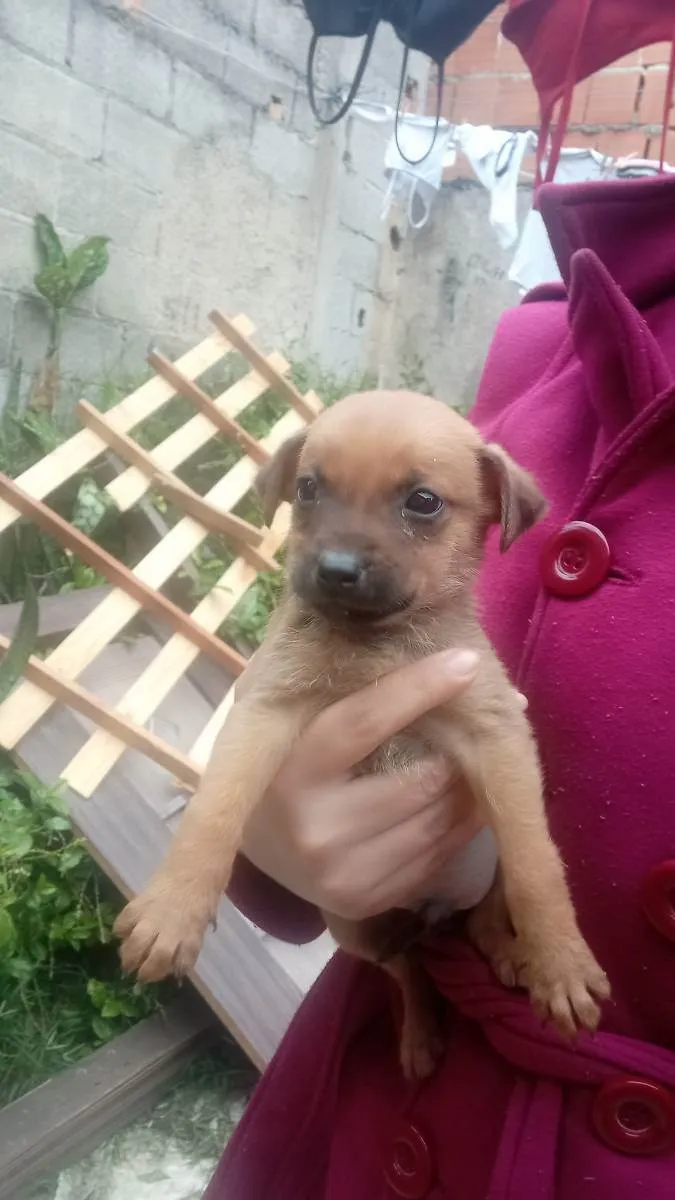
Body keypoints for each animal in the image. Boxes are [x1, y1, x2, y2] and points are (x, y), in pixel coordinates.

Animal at [117, 391, 610, 1080]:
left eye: (423, 501)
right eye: (307, 488)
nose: (336, 570)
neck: (373, 647)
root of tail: (428, 915)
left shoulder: (495, 736)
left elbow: (535, 864)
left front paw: (561, 961)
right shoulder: (265, 713)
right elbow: (213, 812)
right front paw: (172, 911)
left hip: (475, 874)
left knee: (484, 920)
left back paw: (516, 957)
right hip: (356, 927)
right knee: (408, 970)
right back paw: (419, 1038)